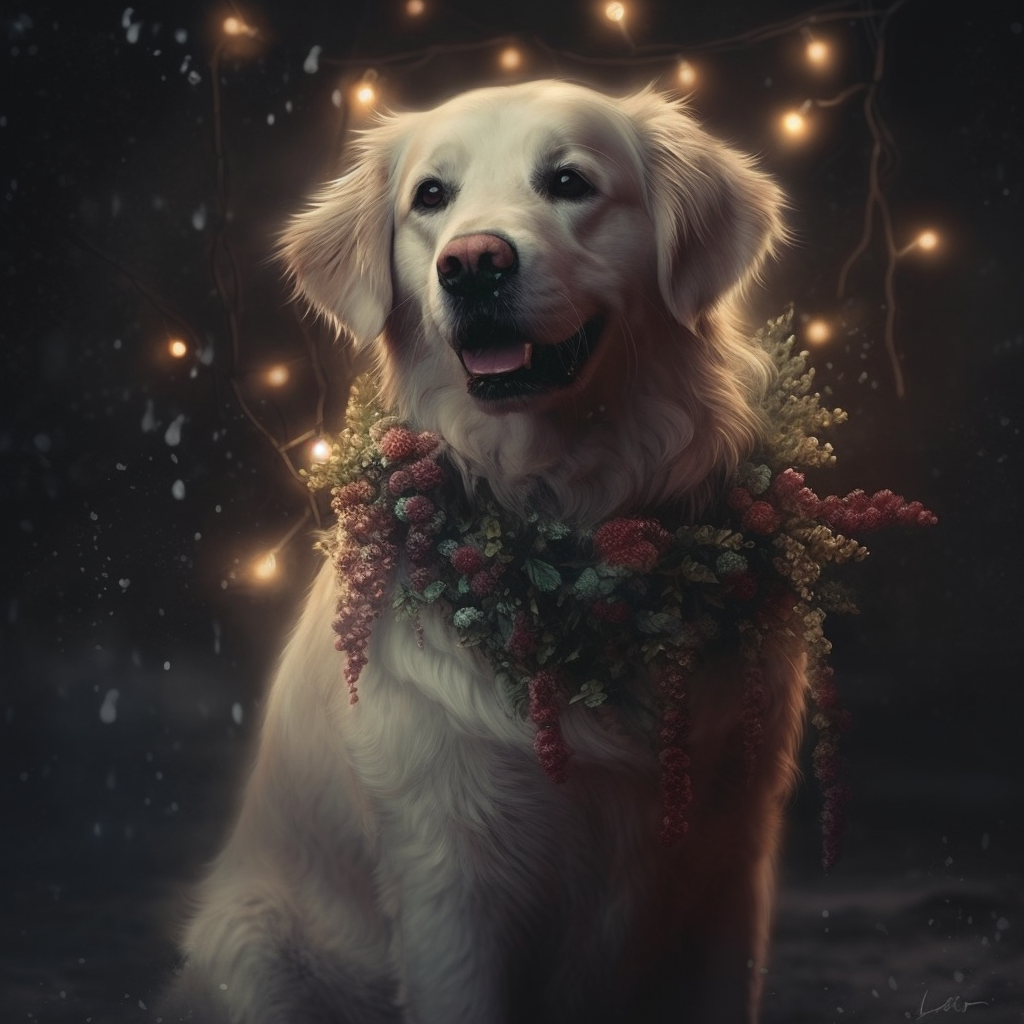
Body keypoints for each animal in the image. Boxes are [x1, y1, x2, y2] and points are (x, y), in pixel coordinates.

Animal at [163, 81, 798, 1024]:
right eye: (432, 197)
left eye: (570, 182)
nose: (472, 263)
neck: (576, 550)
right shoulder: (450, 886)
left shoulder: (728, 863)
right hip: (254, 946)